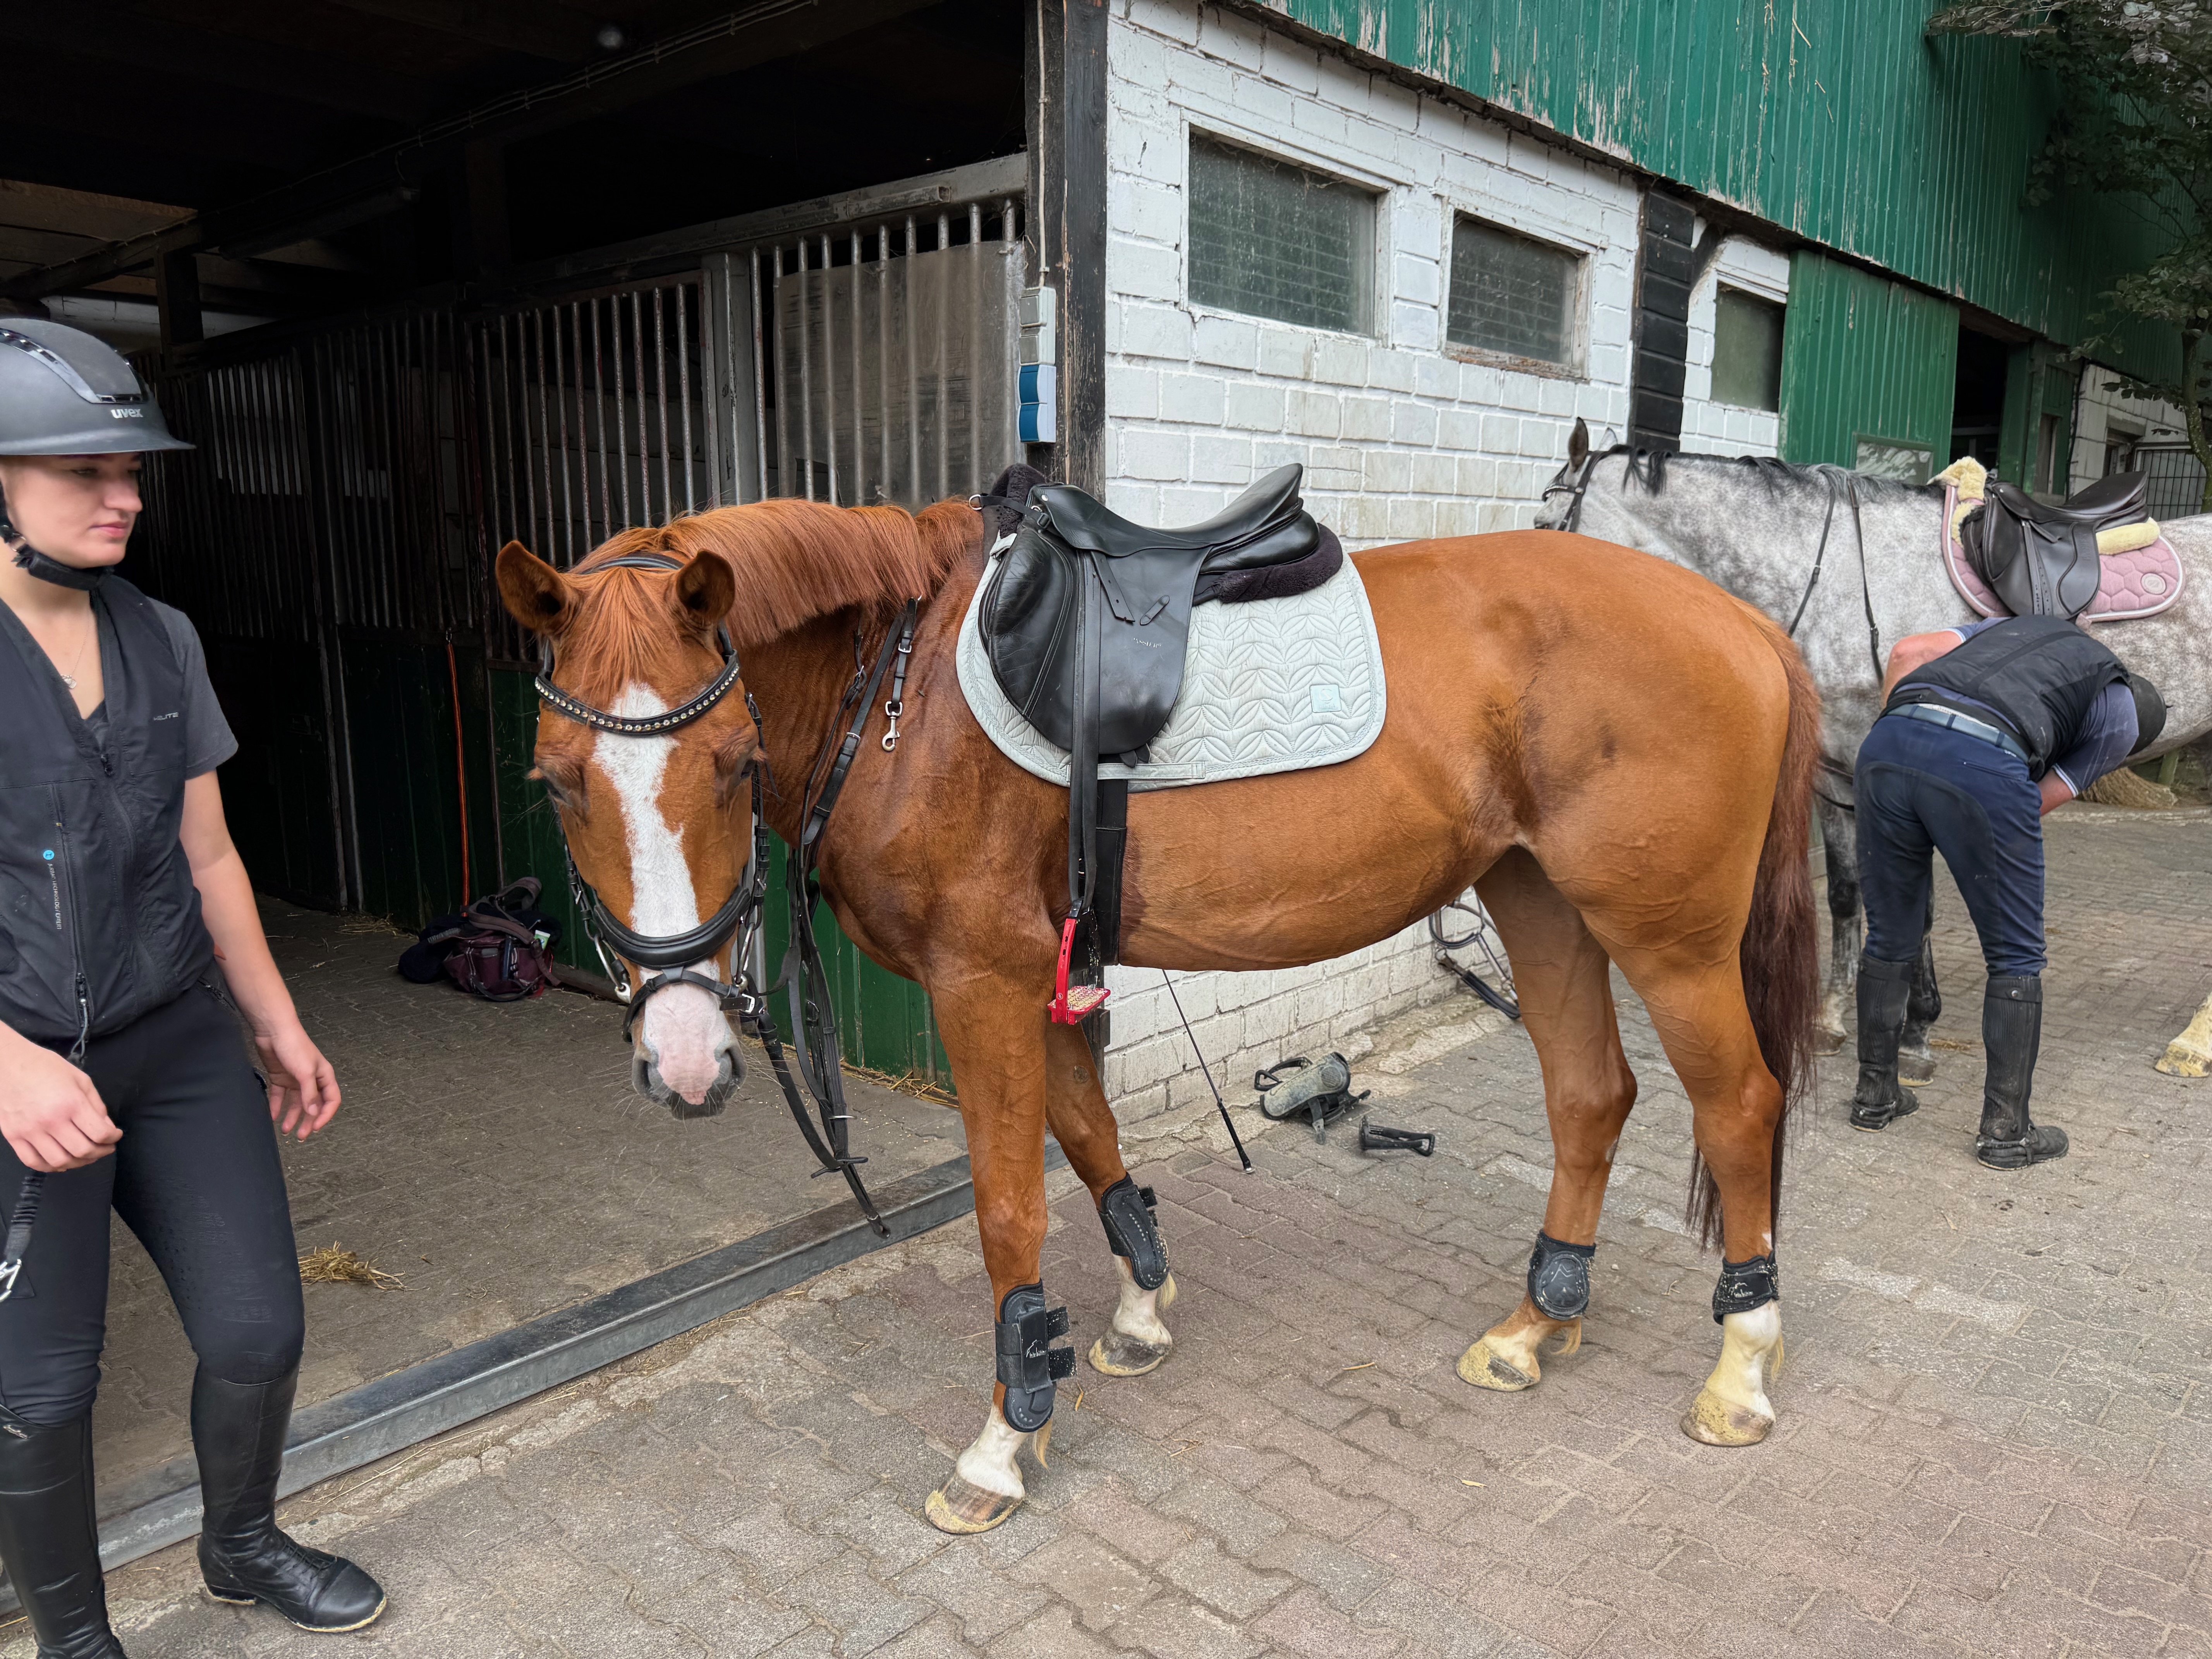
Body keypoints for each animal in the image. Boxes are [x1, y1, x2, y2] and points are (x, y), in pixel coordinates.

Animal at [494, 493, 1822, 1534]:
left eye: (729, 762)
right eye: (553, 783)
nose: (685, 1058)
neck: (904, 700)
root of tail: (1746, 623)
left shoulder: (982, 980)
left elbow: (1009, 1207)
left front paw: (1003, 1438)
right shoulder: (1042, 975)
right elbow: (1090, 1141)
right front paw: (1134, 1310)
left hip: (1669, 939)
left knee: (1738, 1105)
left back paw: (1742, 1371)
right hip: (1537, 897)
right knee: (1591, 1093)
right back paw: (1535, 1324)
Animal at [1536, 419, 2212, 1065]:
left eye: (1543, 525)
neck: (1841, 580)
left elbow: (1920, 903)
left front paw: (1916, 1030)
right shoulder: (1835, 776)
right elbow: (1845, 893)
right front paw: (1833, 1017)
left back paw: (2195, 1042)